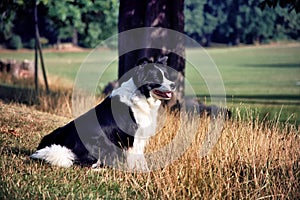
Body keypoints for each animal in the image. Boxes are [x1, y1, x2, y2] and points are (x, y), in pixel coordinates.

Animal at [29, 55, 176, 170]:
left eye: (167, 76)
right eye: (156, 77)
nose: (174, 84)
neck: (141, 94)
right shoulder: (133, 138)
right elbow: (136, 158)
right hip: (100, 143)